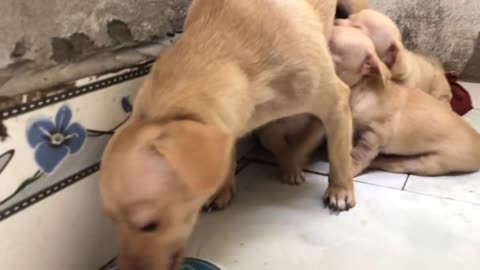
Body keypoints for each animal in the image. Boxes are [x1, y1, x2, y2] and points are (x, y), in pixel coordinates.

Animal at [99, 1, 354, 268]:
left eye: (150, 226)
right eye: (112, 220)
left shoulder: (336, 102)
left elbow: (339, 154)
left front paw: (340, 190)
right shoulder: (228, 125)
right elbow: (228, 157)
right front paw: (222, 190)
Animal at [330, 26, 480, 176]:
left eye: (331, 47)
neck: (361, 89)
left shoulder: (374, 135)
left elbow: (360, 154)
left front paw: (349, 168)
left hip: (430, 163)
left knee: (397, 164)